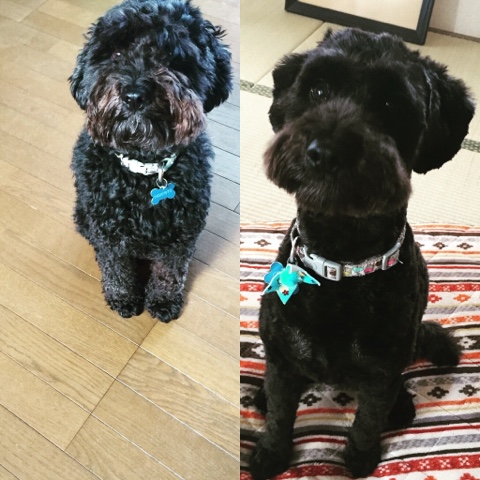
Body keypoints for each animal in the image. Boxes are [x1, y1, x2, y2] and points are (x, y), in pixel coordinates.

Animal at [69, 0, 232, 321]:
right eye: (116, 54)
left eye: (173, 57)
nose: (134, 95)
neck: (144, 169)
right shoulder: (108, 231)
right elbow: (116, 268)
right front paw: (122, 298)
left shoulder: (181, 234)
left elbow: (169, 272)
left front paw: (163, 301)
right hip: (82, 215)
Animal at [250, 28, 474, 479]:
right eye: (318, 89)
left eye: (391, 105)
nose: (326, 150)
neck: (342, 263)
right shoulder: (281, 357)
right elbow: (281, 414)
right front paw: (270, 455)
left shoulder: (381, 372)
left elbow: (369, 418)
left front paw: (359, 458)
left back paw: (401, 406)